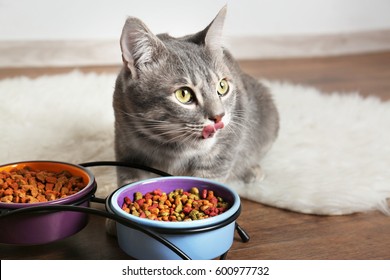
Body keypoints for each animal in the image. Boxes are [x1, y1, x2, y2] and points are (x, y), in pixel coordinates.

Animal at [112, 6, 280, 186]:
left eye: (222, 86)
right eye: (183, 94)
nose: (219, 116)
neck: (171, 149)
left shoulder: (222, 152)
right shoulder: (127, 152)